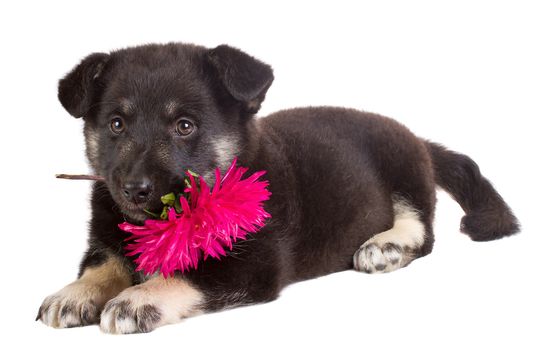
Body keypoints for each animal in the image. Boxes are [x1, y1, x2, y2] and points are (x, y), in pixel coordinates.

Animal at [35, 43, 520, 334]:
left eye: (184, 126)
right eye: (116, 124)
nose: (134, 190)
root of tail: (420, 140)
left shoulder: (250, 265)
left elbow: (187, 274)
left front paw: (137, 299)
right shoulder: (107, 240)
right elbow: (104, 264)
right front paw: (76, 291)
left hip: (401, 164)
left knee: (421, 226)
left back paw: (386, 245)